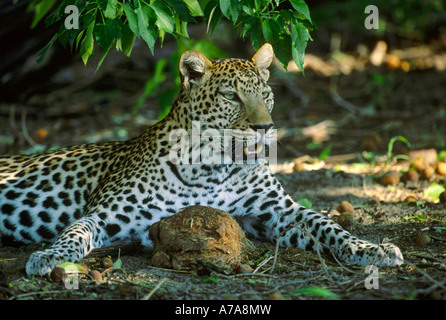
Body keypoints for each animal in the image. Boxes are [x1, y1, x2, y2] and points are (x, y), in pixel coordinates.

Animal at [0, 43, 404, 276]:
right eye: (231, 96)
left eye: (265, 94)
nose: (265, 128)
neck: (214, 167)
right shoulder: (106, 214)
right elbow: (76, 232)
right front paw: (49, 257)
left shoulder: (278, 212)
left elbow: (328, 225)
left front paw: (371, 249)